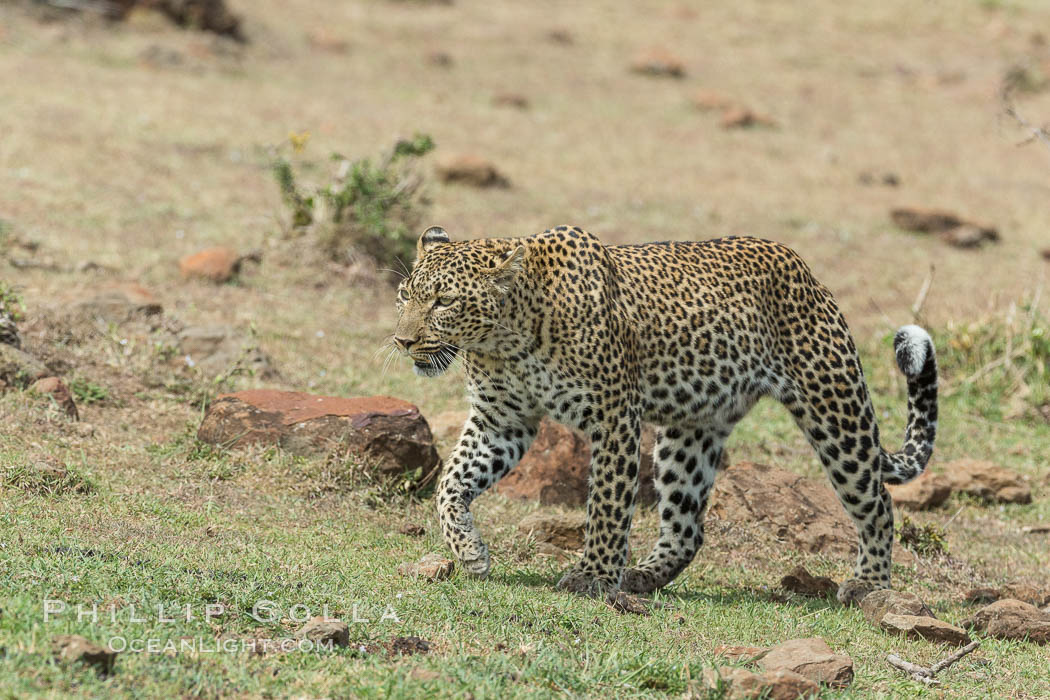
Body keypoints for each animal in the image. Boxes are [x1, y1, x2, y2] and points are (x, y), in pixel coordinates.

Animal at [392, 223, 936, 604]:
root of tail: (805, 269)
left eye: (444, 301)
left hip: (835, 411)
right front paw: (469, 552)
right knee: (688, 526)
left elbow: (607, 503)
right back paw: (643, 576)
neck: (505, 340)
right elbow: (451, 483)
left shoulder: (613, 416)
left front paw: (593, 575)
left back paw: (869, 585)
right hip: (691, 432)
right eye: (404, 295)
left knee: (878, 502)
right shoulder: (501, 421)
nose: (402, 341)